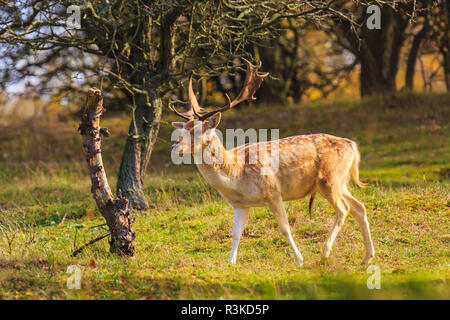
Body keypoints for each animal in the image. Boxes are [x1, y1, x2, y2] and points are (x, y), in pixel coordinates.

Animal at [171, 58, 374, 266]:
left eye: (198, 131)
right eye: (182, 129)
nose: (175, 145)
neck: (236, 174)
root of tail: (352, 145)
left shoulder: (274, 193)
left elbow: (285, 228)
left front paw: (300, 260)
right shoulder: (240, 205)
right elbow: (236, 234)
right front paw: (231, 263)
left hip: (329, 180)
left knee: (344, 209)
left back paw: (324, 253)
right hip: (341, 182)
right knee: (359, 208)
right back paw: (367, 257)